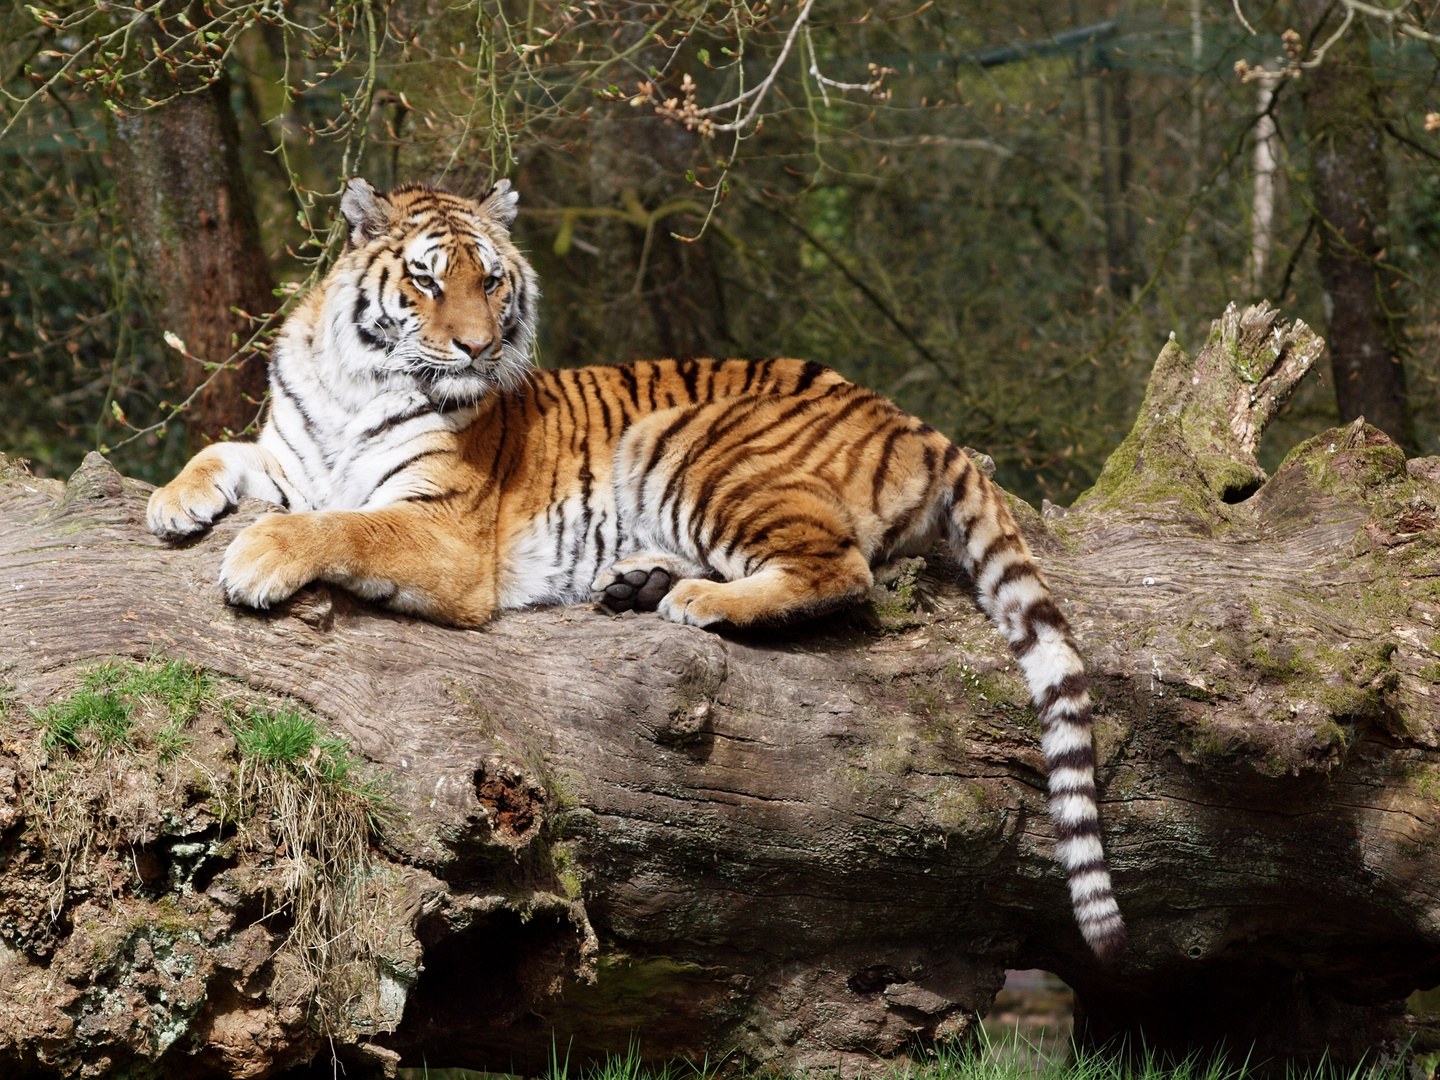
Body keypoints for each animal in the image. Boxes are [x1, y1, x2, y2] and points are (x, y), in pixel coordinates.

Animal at [151, 177, 1128, 961]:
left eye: (491, 280)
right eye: (426, 280)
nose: (475, 349)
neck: (355, 385)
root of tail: (910, 418)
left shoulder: (443, 530)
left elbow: (343, 525)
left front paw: (260, 555)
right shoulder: (291, 454)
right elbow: (226, 451)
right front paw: (172, 501)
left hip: (683, 438)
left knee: (842, 570)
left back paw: (698, 601)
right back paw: (635, 580)